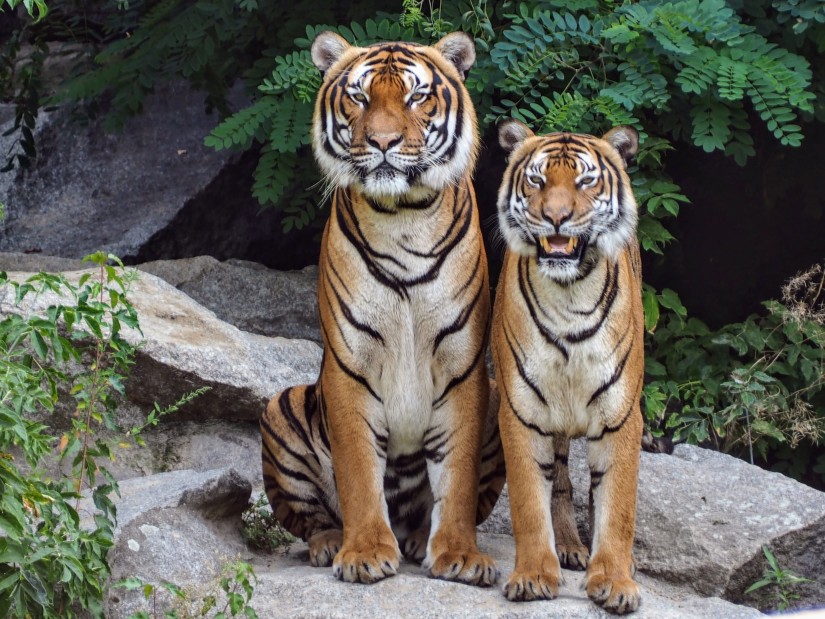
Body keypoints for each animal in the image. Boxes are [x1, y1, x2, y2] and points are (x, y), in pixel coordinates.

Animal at [260, 31, 502, 588]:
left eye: (416, 97)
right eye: (359, 96)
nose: (384, 142)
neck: (403, 216)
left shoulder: (463, 368)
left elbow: (456, 478)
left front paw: (459, 554)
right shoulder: (350, 365)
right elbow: (357, 471)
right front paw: (366, 551)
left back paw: (417, 539)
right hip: (281, 406)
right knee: (309, 518)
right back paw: (331, 542)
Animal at [490, 120, 644, 616]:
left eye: (585, 181)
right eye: (537, 181)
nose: (556, 217)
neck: (569, 295)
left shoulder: (622, 417)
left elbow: (617, 507)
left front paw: (614, 580)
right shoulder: (520, 412)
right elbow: (528, 501)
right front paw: (533, 575)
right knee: (559, 481)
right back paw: (570, 547)